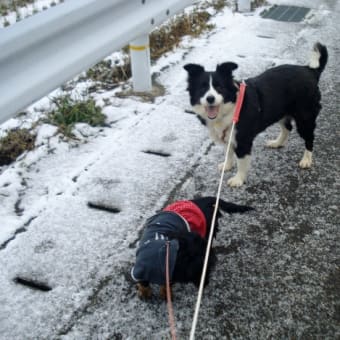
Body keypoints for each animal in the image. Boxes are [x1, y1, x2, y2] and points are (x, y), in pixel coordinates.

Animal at [185, 41, 328, 189]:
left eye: (219, 87)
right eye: (202, 88)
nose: (210, 99)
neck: (231, 107)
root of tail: (310, 71)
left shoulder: (243, 140)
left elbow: (241, 161)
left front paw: (238, 179)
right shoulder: (229, 135)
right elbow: (228, 152)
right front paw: (227, 165)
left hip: (305, 116)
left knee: (309, 138)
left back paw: (306, 160)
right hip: (281, 111)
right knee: (287, 128)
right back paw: (277, 143)